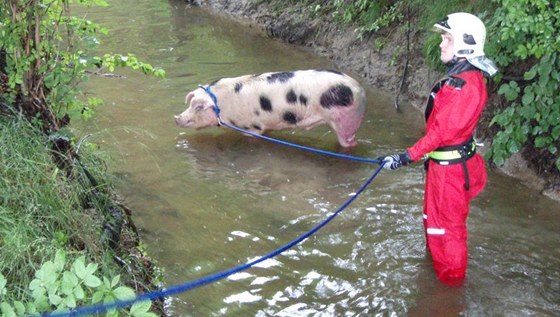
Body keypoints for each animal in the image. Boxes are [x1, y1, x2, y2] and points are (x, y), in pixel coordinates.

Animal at [175, 69, 368, 147]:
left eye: (198, 107)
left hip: (346, 121)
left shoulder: (252, 127)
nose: (176, 118)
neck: (221, 104)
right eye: (190, 104)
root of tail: (359, 89)